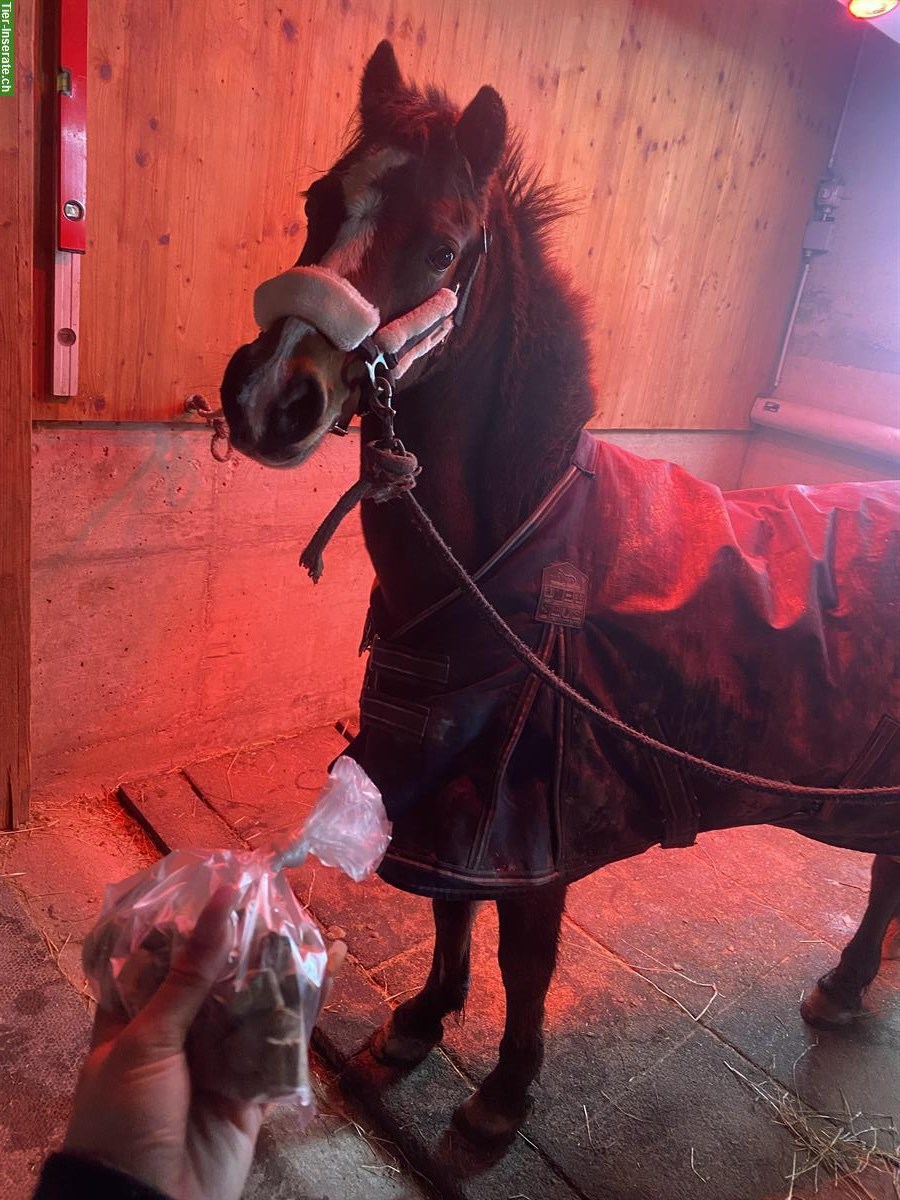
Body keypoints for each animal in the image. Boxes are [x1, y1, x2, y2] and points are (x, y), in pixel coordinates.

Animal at [220, 39, 900, 1142]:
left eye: (444, 250)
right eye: (320, 201)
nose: (269, 396)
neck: (517, 557)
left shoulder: (536, 821)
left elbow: (523, 957)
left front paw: (502, 1097)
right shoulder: (451, 789)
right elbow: (449, 908)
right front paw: (419, 1023)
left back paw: (843, 986)